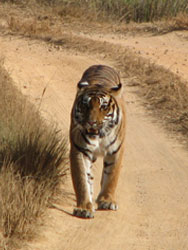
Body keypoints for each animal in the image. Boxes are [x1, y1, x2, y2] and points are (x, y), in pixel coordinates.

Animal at [70, 64, 125, 219]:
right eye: (85, 105)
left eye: (103, 107)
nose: (91, 122)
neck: (99, 137)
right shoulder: (79, 150)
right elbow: (81, 178)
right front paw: (84, 208)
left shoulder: (116, 151)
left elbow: (112, 176)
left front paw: (107, 201)